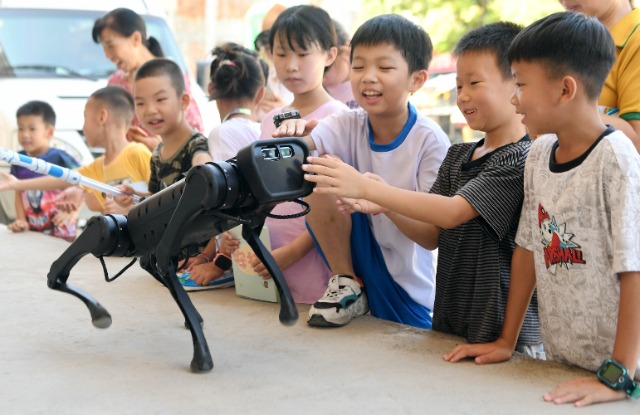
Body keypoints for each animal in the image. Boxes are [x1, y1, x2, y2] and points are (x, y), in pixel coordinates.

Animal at [46, 140, 312, 374]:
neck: (233, 174)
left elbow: (253, 241)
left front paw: (289, 314)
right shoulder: (196, 195)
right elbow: (164, 263)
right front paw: (202, 360)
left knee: (144, 261)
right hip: (114, 234)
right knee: (100, 233)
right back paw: (92, 307)